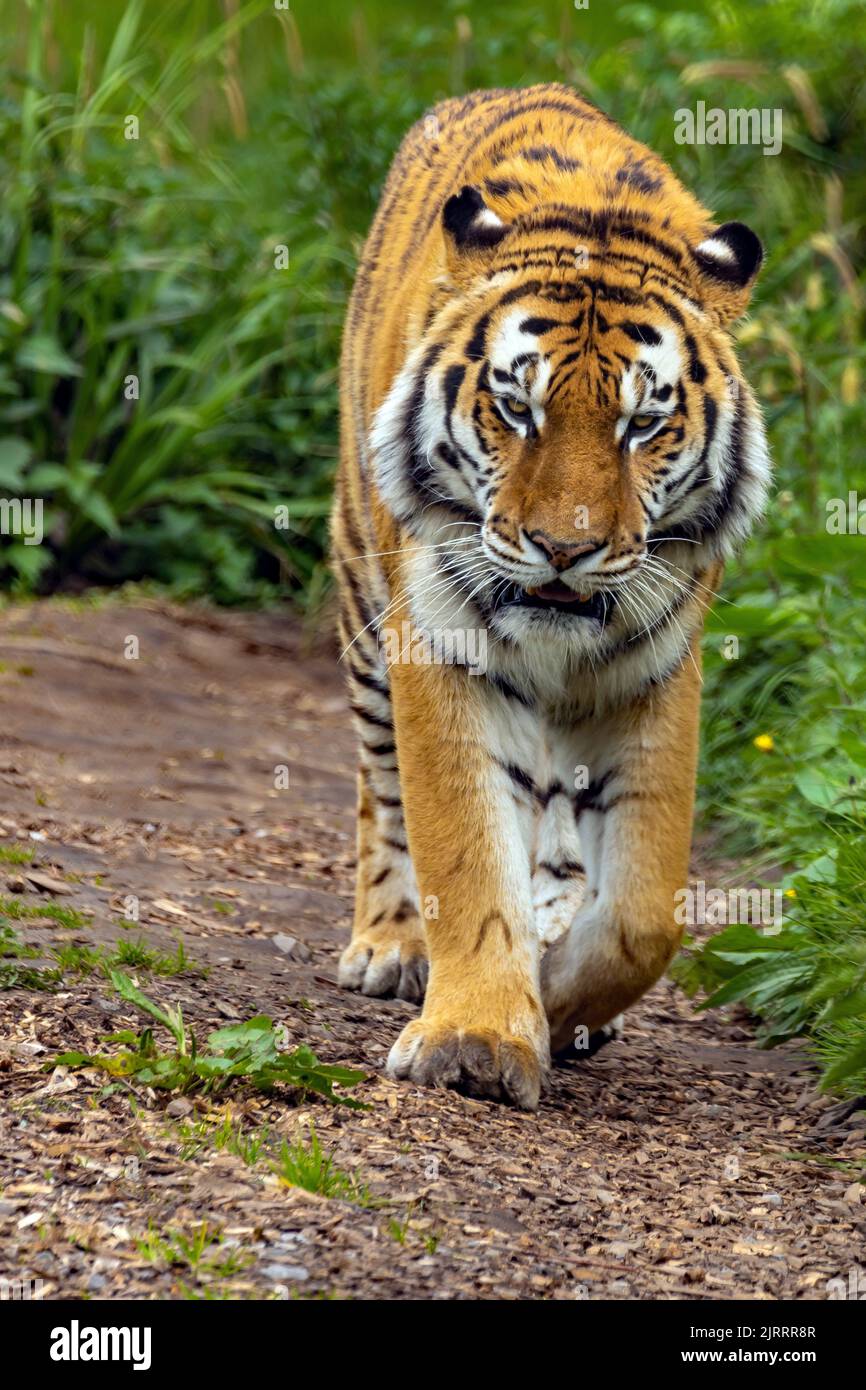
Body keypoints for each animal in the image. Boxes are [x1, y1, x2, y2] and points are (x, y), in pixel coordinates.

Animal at [328, 84, 767, 1106]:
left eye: (643, 424)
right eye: (516, 408)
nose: (563, 549)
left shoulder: (657, 673)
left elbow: (644, 914)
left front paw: (561, 1003)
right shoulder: (440, 647)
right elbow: (465, 855)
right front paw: (479, 1037)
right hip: (365, 603)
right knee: (382, 789)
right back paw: (391, 944)